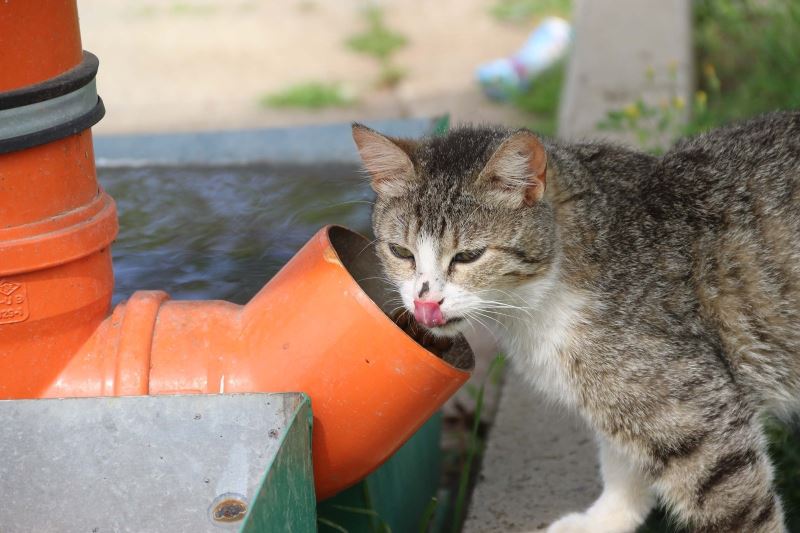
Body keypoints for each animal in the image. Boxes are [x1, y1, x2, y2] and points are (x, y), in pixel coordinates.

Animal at [354, 110, 800, 528]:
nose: (425, 303)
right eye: (401, 252)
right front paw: (604, 519)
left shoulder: (696, 416)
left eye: (468, 256)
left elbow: (738, 510)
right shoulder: (621, 399)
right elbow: (623, 463)